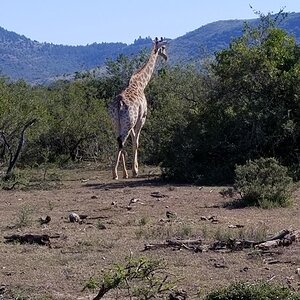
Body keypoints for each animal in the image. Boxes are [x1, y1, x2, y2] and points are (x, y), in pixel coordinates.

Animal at [109, 36, 168, 179]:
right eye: (163, 47)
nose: (166, 57)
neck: (141, 84)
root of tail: (119, 103)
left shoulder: (133, 122)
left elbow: (133, 140)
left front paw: (133, 170)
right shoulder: (142, 118)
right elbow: (136, 141)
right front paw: (135, 170)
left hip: (117, 123)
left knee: (119, 141)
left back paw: (122, 173)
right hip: (128, 122)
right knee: (121, 141)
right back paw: (116, 173)